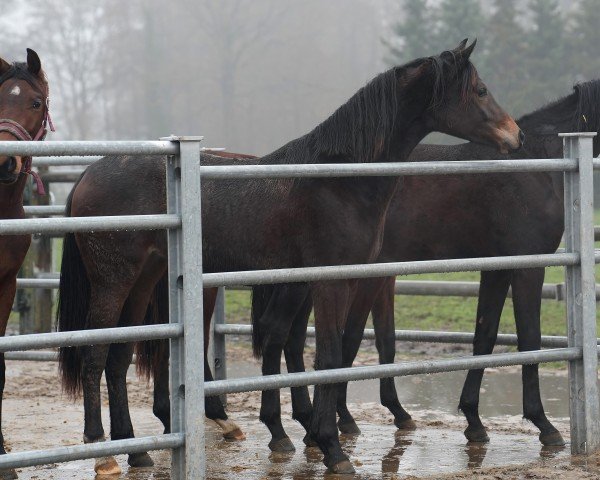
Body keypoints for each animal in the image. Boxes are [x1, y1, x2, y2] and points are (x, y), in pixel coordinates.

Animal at [57, 39, 520, 474]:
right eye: (480, 90)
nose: (515, 136)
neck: (338, 180)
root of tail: (88, 174)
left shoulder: (329, 279)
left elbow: (316, 351)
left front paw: (310, 435)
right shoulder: (329, 281)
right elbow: (328, 356)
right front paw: (332, 447)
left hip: (145, 278)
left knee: (119, 358)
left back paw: (135, 451)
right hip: (114, 280)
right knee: (95, 352)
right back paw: (101, 451)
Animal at [253, 78, 600, 450]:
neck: (537, 163)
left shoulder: (497, 267)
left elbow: (484, 337)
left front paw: (473, 420)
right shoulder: (527, 266)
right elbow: (530, 341)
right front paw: (543, 424)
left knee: (293, 337)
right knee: (285, 332)